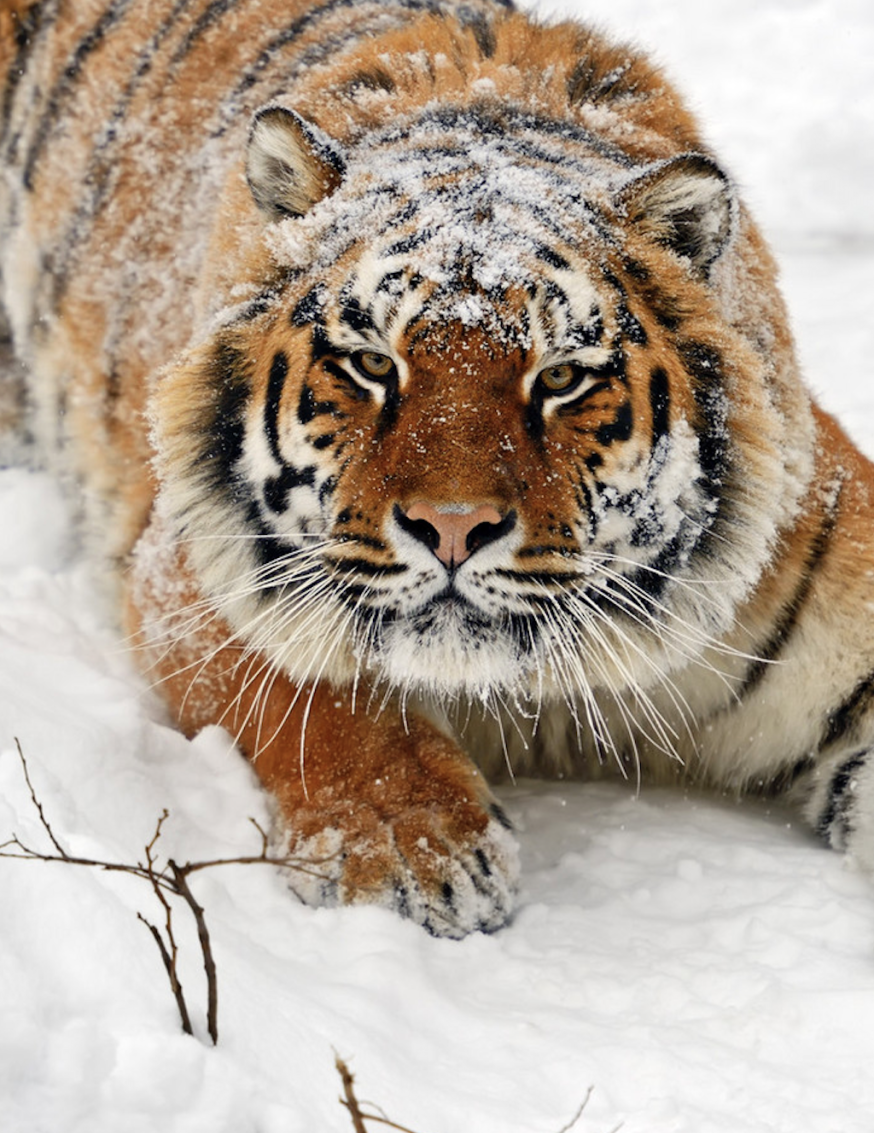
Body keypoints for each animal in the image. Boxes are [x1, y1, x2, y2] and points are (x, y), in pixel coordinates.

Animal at [1, 0, 874, 938]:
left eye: (560, 377)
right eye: (372, 365)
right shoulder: (189, 565)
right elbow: (314, 696)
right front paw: (416, 851)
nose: (453, 529)